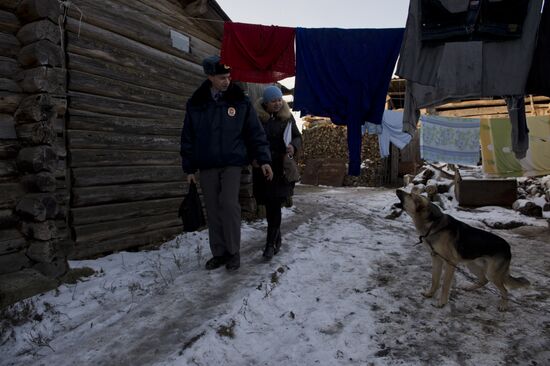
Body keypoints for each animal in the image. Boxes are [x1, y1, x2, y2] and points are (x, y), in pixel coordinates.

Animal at [396, 189, 532, 312]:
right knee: (484, 280)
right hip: (472, 265)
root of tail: (508, 247)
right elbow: (435, 280)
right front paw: (430, 294)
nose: (397, 189)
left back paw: (503, 305)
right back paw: (469, 287)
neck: (433, 224)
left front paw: (442, 302)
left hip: (492, 273)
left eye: (410, 195)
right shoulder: (436, 258)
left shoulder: (450, 263)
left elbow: (445, 285)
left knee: (504, 289)